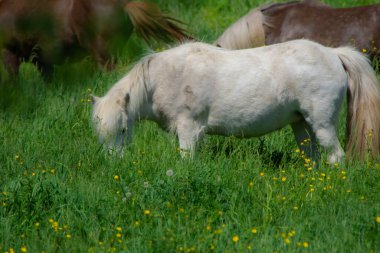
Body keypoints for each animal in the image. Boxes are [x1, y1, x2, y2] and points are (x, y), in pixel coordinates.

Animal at [91, 39, 380, 162]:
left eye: (123, 129)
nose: (114, 164)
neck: (167, 76)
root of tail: (333, 53)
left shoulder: (189, 128)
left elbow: (186, 159)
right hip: (302, 124)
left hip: (322, 124)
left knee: (336, 155)